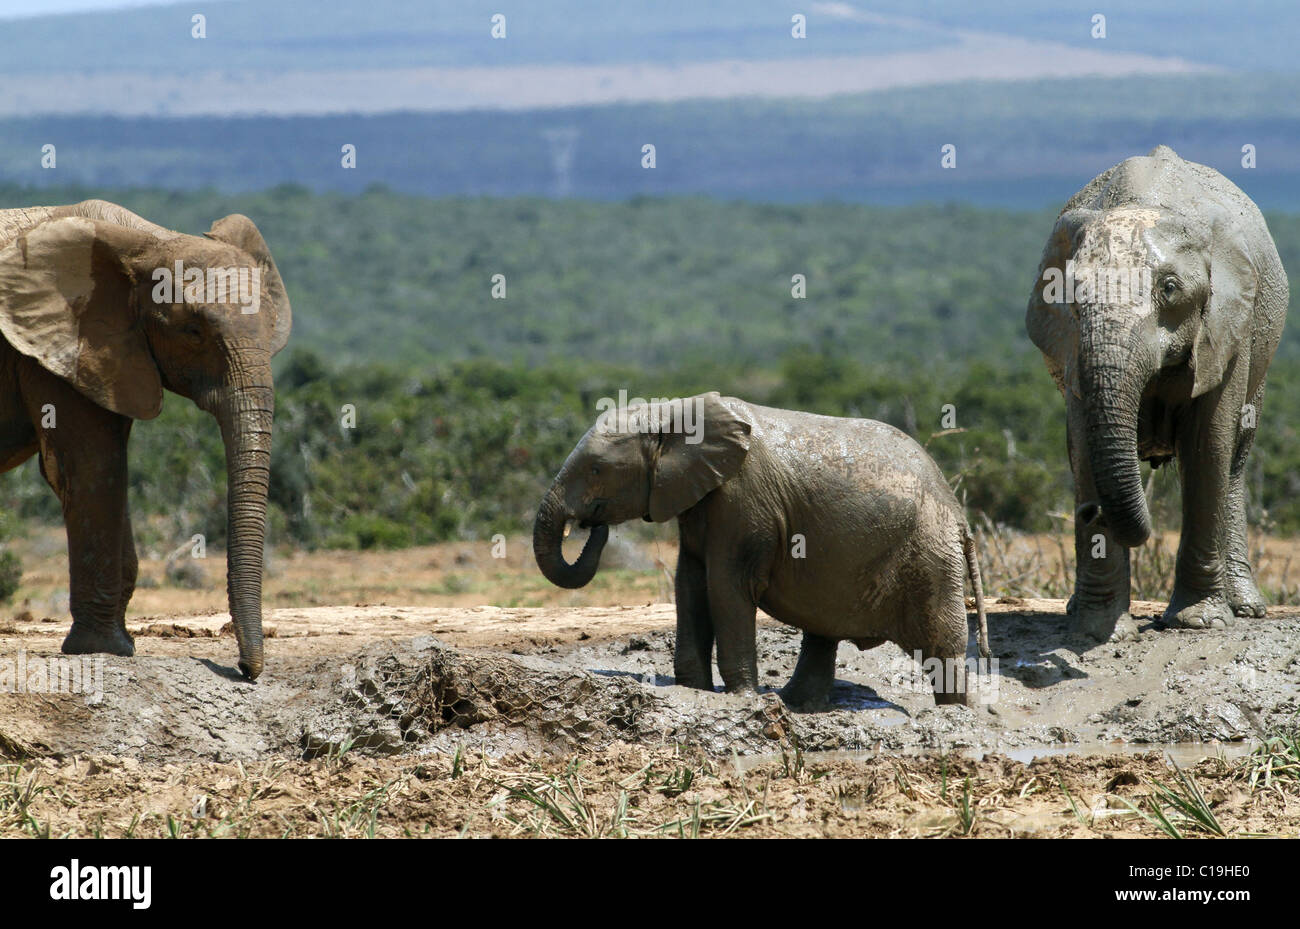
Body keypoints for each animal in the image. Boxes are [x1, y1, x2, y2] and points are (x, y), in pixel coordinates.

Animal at [0, 200, 292, 680]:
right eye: (194, 332)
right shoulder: (54, 348)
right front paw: (102, 649)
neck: (147, 241)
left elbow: (103, 466)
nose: (245, 669)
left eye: (271, 330)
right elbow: (90, 464)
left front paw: (118, 643)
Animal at [533, 389, 987, 706]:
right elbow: (690, 584)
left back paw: (954, 715)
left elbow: (725, 586)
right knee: (823, 631)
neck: (675, 411)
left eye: (597, 470)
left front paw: (741, 699)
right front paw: (694, 690)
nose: (592, 525)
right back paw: (796, 703)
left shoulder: (743, 498)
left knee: (943, 638)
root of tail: (957, 509)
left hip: (930, 550)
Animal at [1024, 148, 1289, 644]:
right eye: (1073, 297)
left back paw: (1246, 607)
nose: (1089, 512)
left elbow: (1209, 444)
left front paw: (1199, 621)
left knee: (1235, 458)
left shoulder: (1229, 325)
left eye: (1169, 289)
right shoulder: (1071, 348)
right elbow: (1083, 446)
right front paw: (1098, 632)